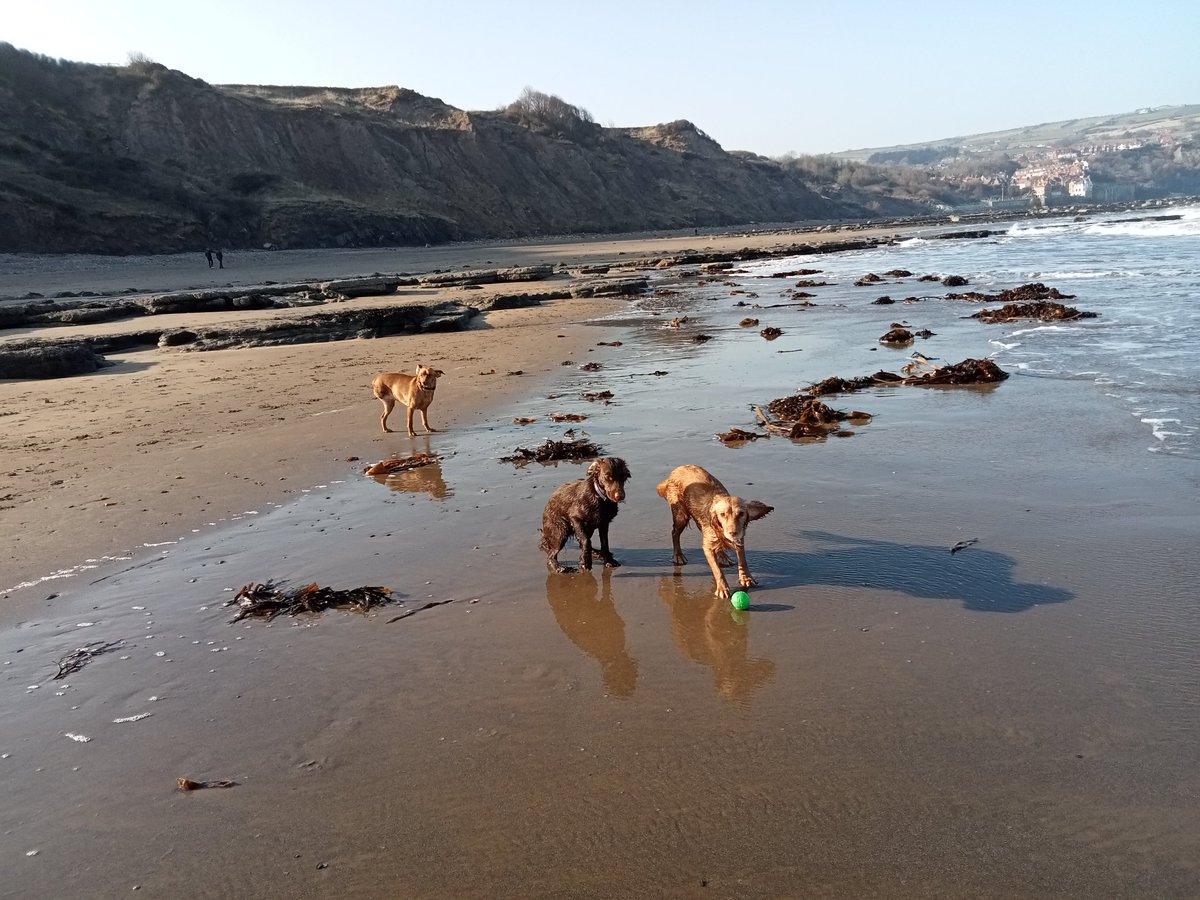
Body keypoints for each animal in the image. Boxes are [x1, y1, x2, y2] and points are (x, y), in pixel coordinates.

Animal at [662, 465, 772, 600]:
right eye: (722, 514)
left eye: (741, 514)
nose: (733, 532)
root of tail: (678, 468)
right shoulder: (707, 546)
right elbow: (717, 570)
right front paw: (722, 588)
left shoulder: (739, 538)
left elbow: (743, 560)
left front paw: (746, 578)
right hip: (681, 514)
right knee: (674, 533)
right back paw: (678, 555)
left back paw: (723, 556)